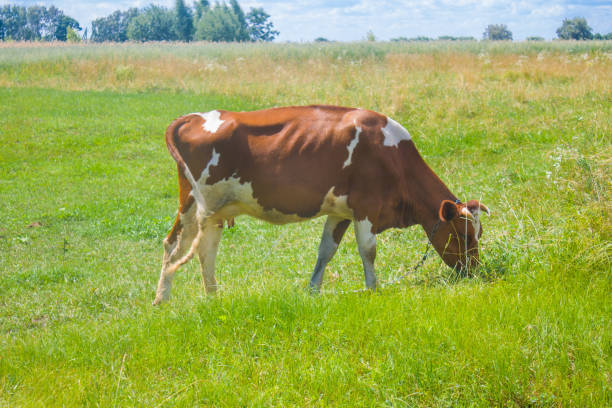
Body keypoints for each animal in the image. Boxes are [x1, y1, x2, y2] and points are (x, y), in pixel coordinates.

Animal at [153, 107, 488, 304]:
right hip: (196, 204)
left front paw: (313, 290)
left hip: (212, 210)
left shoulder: (341, 212)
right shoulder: (366, 208)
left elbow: (326, 250)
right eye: (462, 235)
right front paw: (373, 288)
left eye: (478, 234)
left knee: (203, 249)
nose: (474, 270)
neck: (393, 157)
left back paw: (211, 297)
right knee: (178, 246)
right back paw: (164, 299)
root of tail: (193, 117)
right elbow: (368, 250)